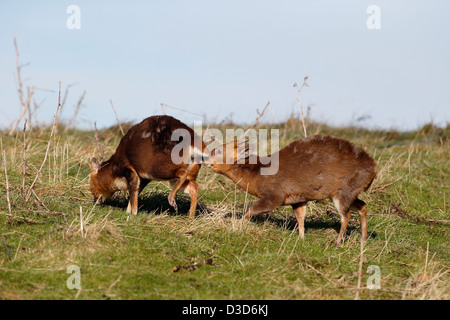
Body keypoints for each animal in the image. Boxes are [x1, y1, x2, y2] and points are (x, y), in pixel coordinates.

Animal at [206, 134, 378, 244]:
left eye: (219, 151)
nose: (206, 159)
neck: (257, 174)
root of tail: (373, 169)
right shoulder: (298, 198)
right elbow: (300, 217)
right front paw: (301, 237)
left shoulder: (274, 194)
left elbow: (251, 210)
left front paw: (238, 225)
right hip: (349, 191)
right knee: (362, 205)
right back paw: (363, 239)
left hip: (344, 191)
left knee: (346, 215)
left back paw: (337, 242)